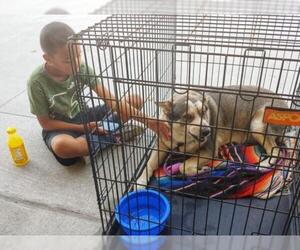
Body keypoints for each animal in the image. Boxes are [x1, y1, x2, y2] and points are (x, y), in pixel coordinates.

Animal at [137, 85, 290, 187]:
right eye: (187, 117)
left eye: (204, 111)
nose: (207, 131)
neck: (182, 139)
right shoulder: (161, 145)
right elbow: (149, 163)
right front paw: (140, 181)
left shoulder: (209, 151)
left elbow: (183, 166)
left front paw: (201, 170)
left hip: (257, 124)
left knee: (276, 150)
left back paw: (263, 164)